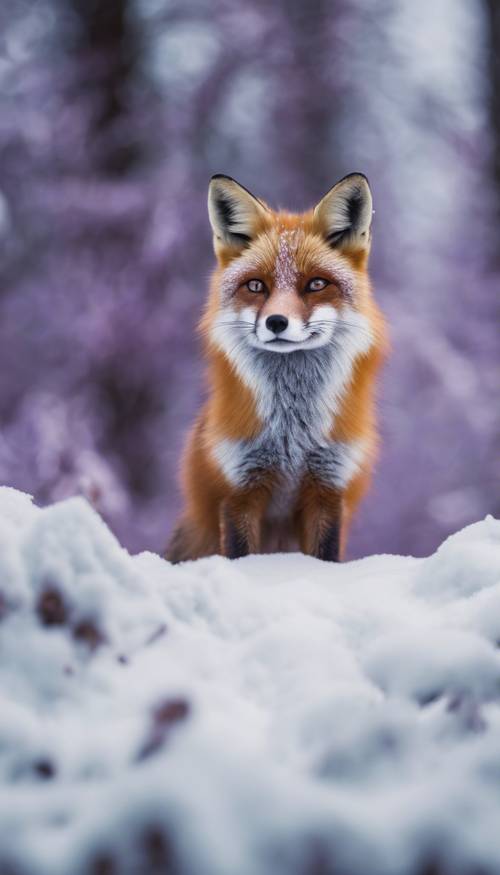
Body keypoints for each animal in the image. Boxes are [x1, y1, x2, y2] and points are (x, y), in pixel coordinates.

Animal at [166, 175, 388, 564]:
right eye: (256, 285)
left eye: (316, 284)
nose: (276, 322)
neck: (292, 435)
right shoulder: (238, 490)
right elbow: (241, 555)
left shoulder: (328, 488)